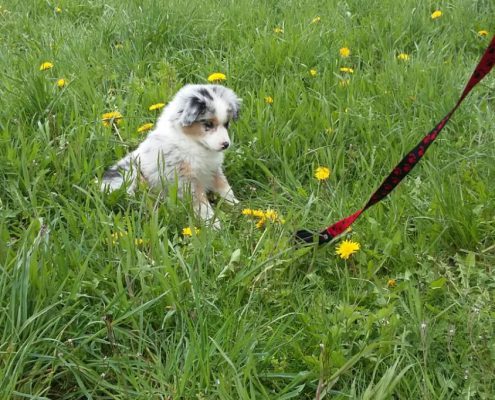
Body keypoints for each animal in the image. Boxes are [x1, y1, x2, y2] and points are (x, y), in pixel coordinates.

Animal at [100, 83, 241, 228]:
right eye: (208, 124)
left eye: (226, 124)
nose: (226, 144)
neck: (194, 142)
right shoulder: (186, 180)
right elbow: (202, 205)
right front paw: (213, 225)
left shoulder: (214, 169)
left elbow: (225, 188)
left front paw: (238, 206)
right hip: (131, 174)